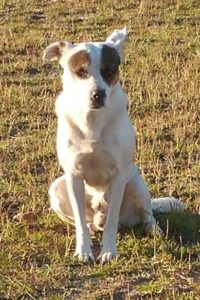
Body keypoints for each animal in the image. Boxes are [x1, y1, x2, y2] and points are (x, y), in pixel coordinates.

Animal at [43, 28, 184, 262]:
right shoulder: (73, 175)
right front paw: (84, 251)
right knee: (87, 221)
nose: (97, 94)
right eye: (81, 72)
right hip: (57, 188)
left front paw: (109, 251)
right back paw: (93, 228)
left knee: (146, 214)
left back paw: (153, 230)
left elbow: (111, 223)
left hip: (135, 182)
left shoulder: (119, 176)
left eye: (108, 71)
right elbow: (80, 222)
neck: (92, 121)